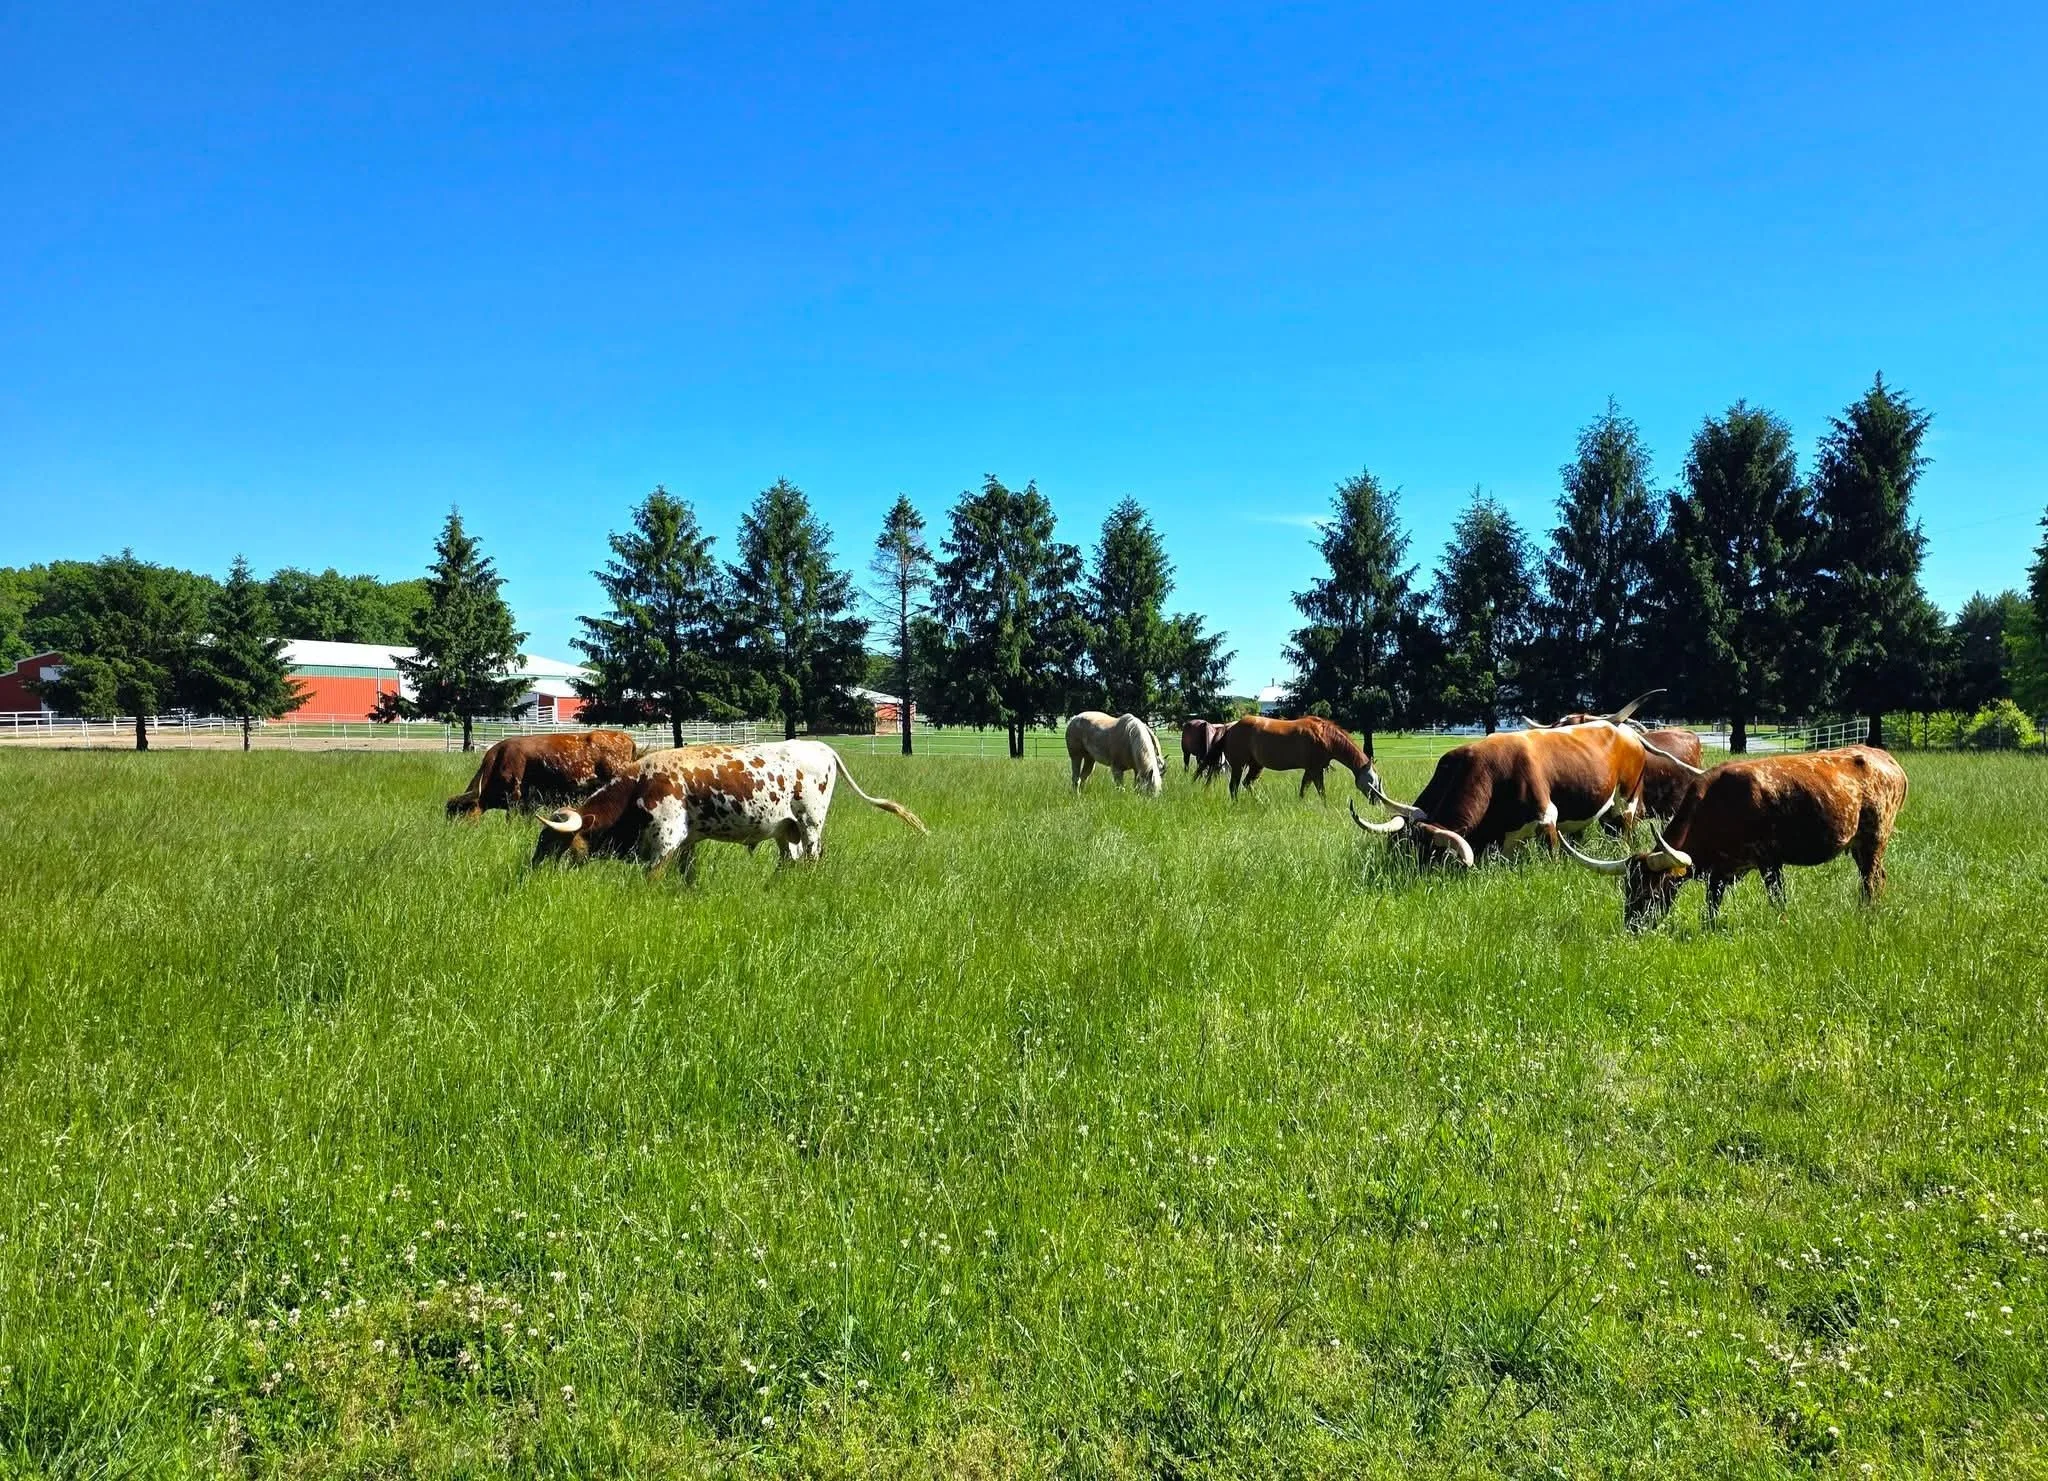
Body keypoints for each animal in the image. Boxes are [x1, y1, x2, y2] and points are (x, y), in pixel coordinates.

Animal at [531, 739, 926, 878]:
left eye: (554, 843)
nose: (532, 874)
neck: (640, 784)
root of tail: (821, 746)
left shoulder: (666, 838)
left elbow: (650, 878)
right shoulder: (687, 842)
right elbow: (687, 874)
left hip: (810, 825)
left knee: (811, 858)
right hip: (786, 830)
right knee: (790, 859)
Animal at [1221, 715, 1382, 802]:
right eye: (1372, 781)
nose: (1377, 801)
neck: (1325, 736)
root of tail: (1230, 728)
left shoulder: (1312, 770)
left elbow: (1305, 789)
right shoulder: (1315, 769)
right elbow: (1319, 791)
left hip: (1256, 766)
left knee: (1246, 784)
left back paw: (1260, 802)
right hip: (1238, 766)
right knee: (1233, 787)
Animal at [1348, 694, 1663, 867]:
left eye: (1427, 853)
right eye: (1400, 845)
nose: (1398, 872)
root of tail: (1621, 729)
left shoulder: (1547, 818)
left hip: (1626, 802)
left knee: (1624, 830)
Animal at [1559, 745, 1908, 929]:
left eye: (1651, 893)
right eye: (1628, 889)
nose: (1632, 929)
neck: (1718, 802)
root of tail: (1887, 759)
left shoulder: (1770, 862)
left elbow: (1777, 898)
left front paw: (1781, 923)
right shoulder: (1720, 871)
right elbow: (1711, 906)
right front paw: (1708, 929)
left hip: (1875, 838)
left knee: (1871, 879)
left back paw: (1867, 914)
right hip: (1860, 845)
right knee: (1875, 877)